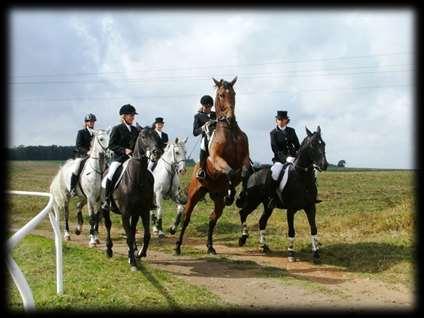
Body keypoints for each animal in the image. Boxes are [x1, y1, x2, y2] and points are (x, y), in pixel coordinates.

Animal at [102, 126, 161, 270]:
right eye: (143, 136)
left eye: (157, 136)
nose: (157, 152)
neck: (137, 178)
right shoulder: (125, 213)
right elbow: (128, 236)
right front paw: (133, 261)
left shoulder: (143, 211)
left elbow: (146, 235)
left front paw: (139, 253)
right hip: (104, 208)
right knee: (108, 225)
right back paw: (109, 250)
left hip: (136, 213)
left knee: (133, 229)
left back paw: (133, 250)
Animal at [174, 77, 250, 256]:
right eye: (221, 95)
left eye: (234, 93)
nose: (230, 119)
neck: (230, 130)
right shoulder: (217, 160)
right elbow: (230, 172)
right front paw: (231, 193)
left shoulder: (245, 160)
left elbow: (245, 172)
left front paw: (240, 195)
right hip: (195, 193)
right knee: (186, 218)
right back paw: (178, 246)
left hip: (217, 199)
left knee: (212, 219)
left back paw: (210, 246)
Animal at [237, 125, 330, 262]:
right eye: (312, 145)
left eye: (323, 144)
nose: (324, 165)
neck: (302, 178)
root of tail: (254, 173)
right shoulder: (290, 210)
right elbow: (291, 231)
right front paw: (291, 253)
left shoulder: (310, 207)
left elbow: (314, 229)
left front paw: (316, 252)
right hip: (253, 201)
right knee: (242, 213)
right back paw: (243, 238)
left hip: (267, 206)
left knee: (262, 222)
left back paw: (263, 246)